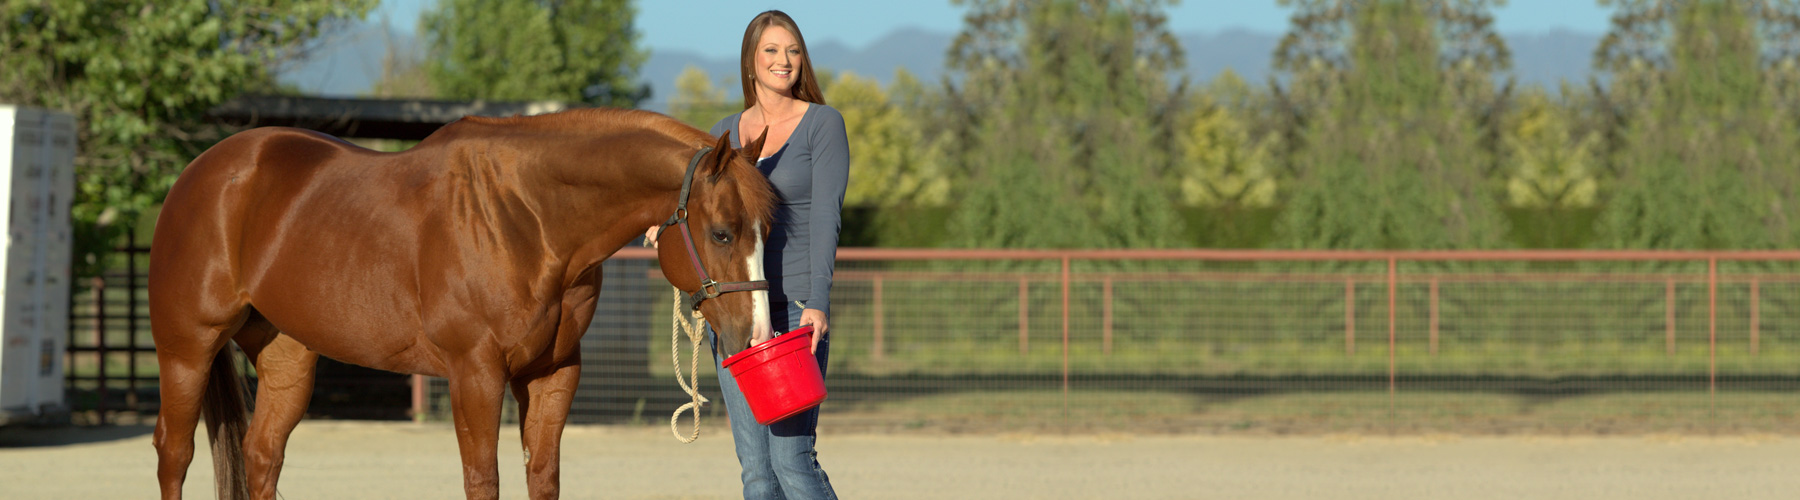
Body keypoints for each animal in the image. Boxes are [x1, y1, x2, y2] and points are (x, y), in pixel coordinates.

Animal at [147, 108, 777, 500]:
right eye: (722, 233)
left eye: (767, 231)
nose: (754, 335)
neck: (527, 217)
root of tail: (202, 172)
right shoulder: (475, 374)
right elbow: (483, 480)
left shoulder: (553, 373)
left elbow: (542, 476)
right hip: (186, 351)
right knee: (174, 454)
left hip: (288, 357)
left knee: (261, 454)